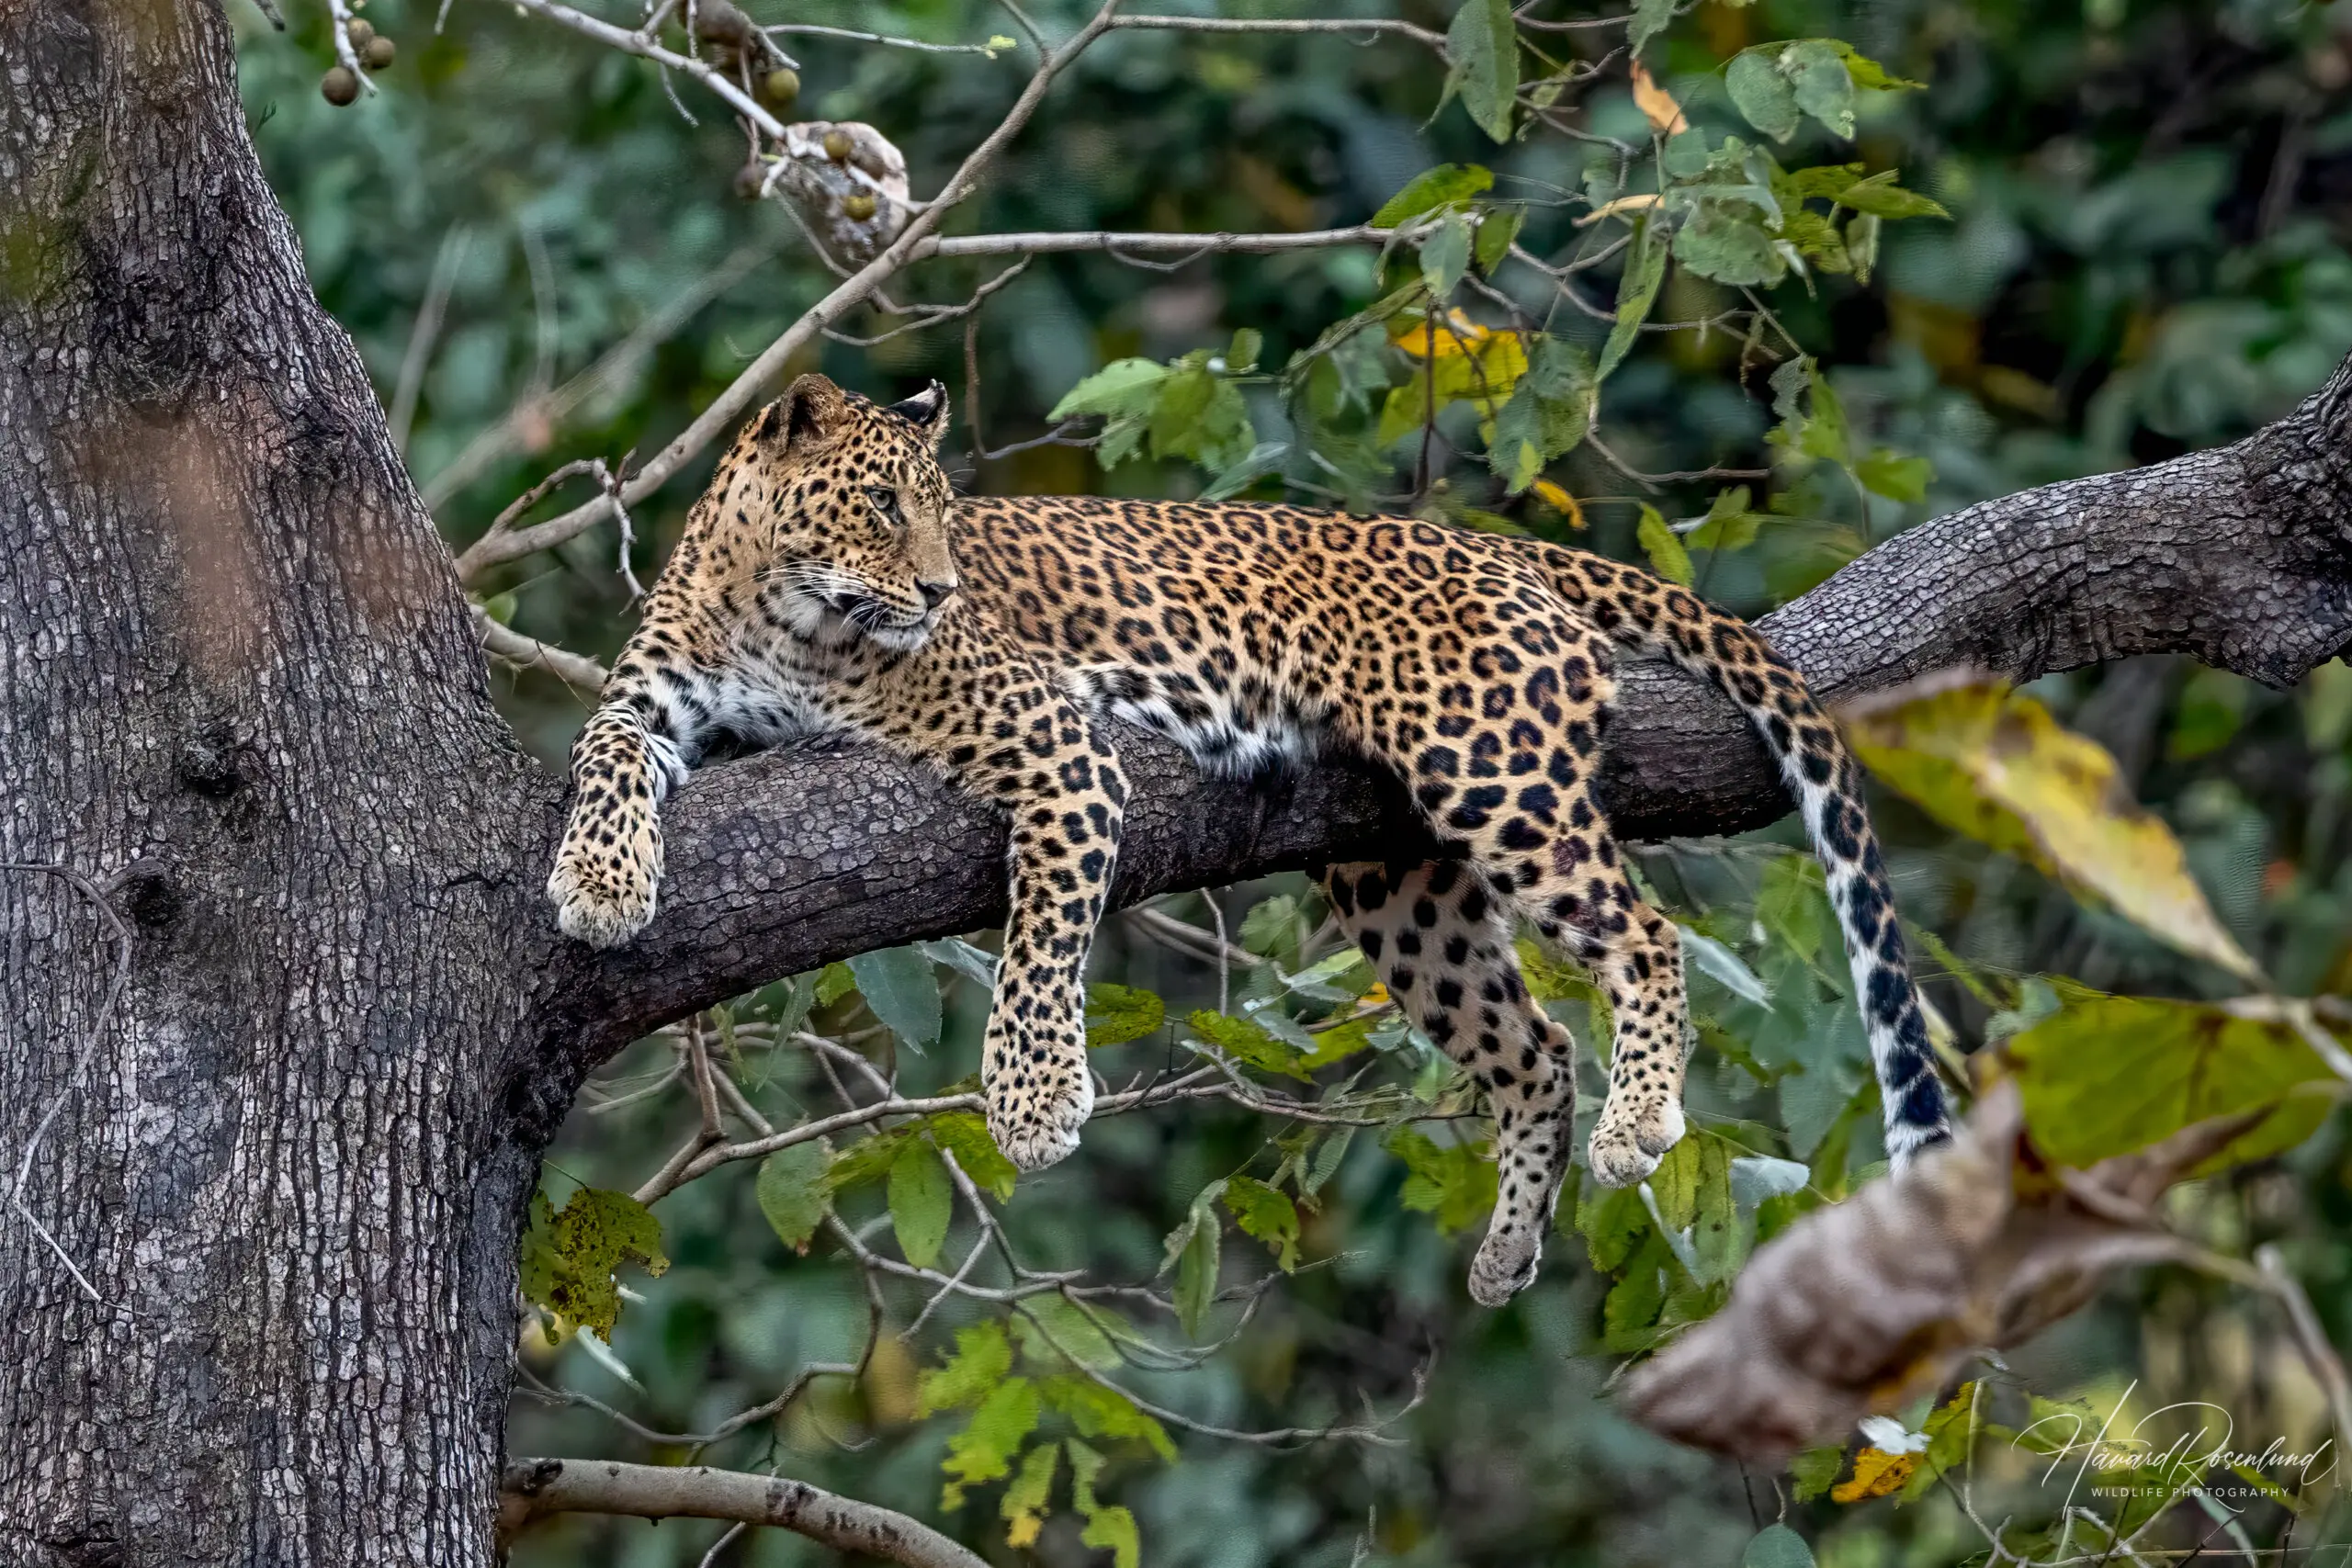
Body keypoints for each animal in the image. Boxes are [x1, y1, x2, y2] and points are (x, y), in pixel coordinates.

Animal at [545, 373, 1947, 1306]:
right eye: (884, 505)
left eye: (942, 510)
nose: (941, 589)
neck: (774, 607)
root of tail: (1484, 542)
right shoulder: (651, 702)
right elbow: (602, 757)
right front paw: (599, 881)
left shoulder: (1057, 739)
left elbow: (1040, 933)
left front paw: (1033, 1100)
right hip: (1400, 879)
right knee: (1535, 1044)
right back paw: (1506, 1249)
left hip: (1487, 766)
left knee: (1644, 936)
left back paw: (1638, 1122)